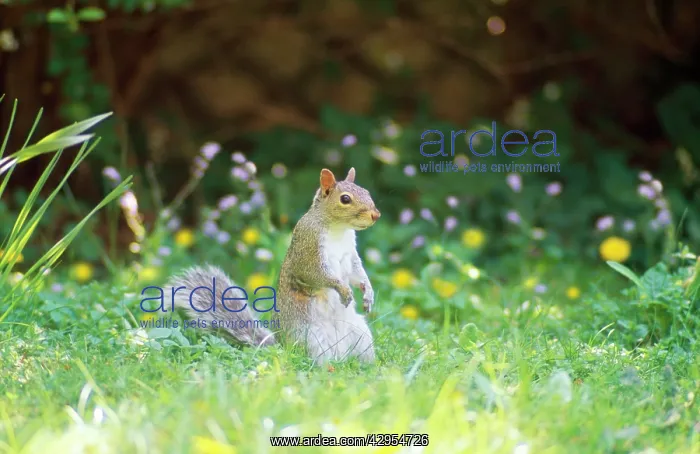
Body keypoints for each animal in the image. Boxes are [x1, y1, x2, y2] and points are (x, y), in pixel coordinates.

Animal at [165, 167, 381, 364]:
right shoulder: (308, 252)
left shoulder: (350, 254)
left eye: (367, 192)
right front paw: (343, 289)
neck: (338, 229)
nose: (375, 215)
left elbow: (357, 273)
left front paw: (368, 293)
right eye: (345, 199)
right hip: (311, 337)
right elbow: (318, 275)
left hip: (360, 333)